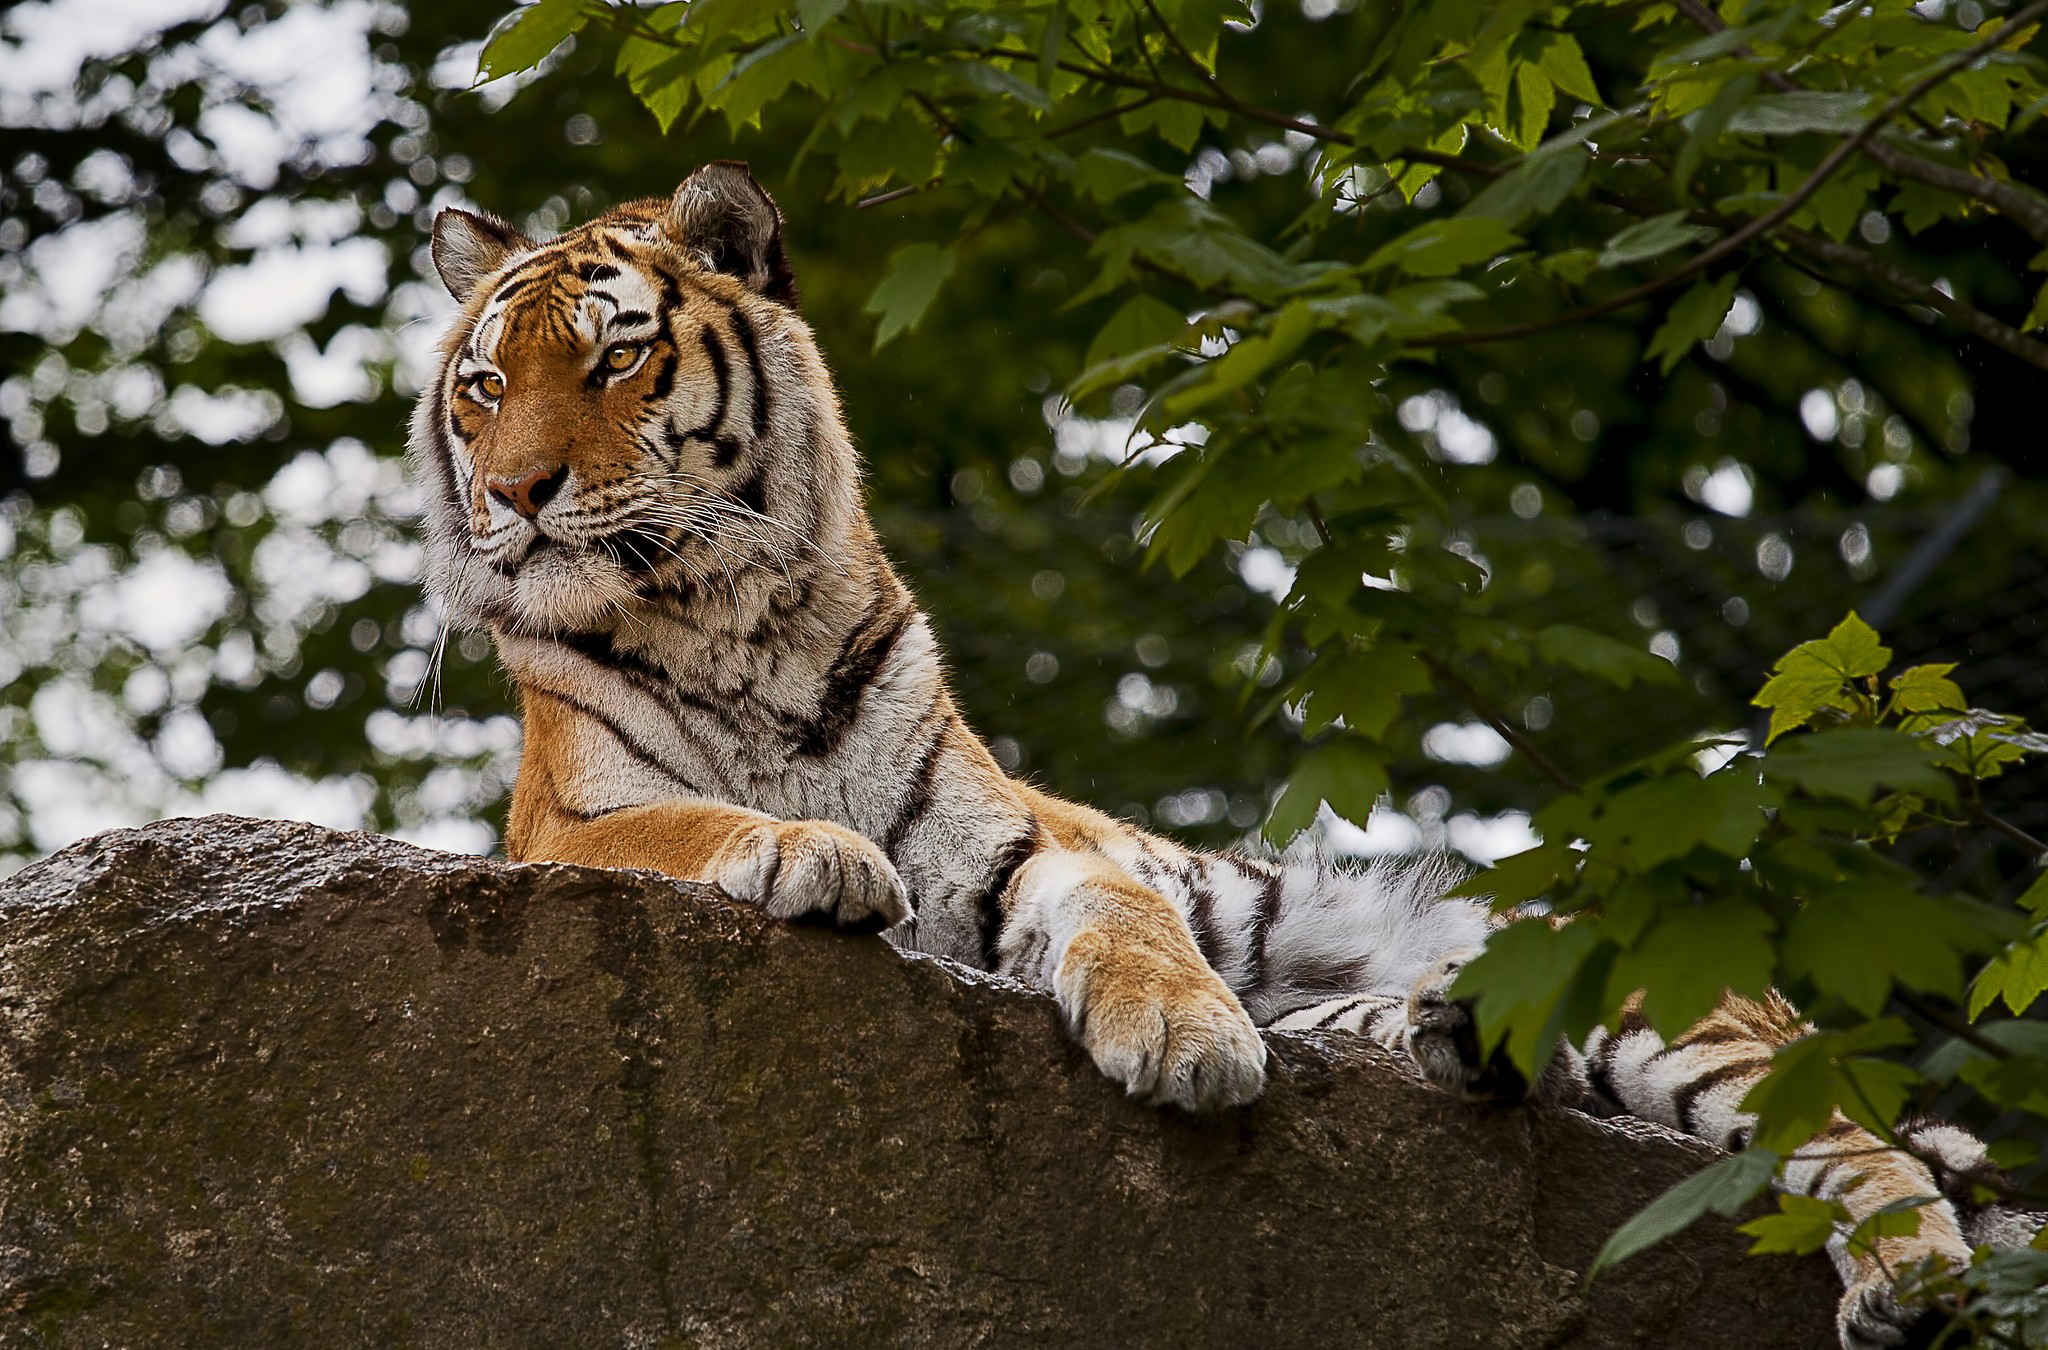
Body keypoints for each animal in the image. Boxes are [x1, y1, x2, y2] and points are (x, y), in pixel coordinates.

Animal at [411, 163, 2031, 1343]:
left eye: (617, 361)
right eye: (485, 388)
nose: (515, 495)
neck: (729, 623)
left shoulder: (1018, 844)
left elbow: (1126, 909)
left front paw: (1185, 1038)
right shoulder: (558, 834)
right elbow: (686, 826)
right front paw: (818, 852)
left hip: (1671, 998)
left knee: (1845, 1136)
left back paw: (1909, 1279)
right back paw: (1451, 1037)